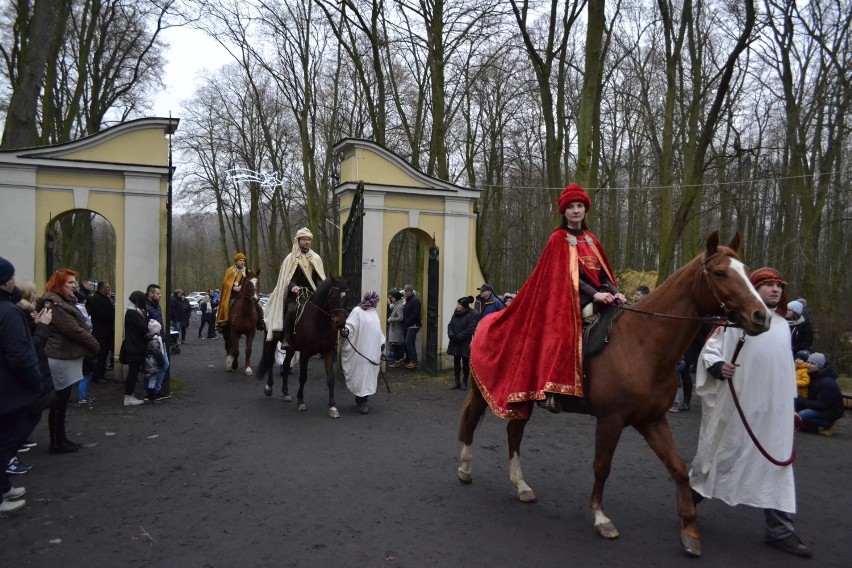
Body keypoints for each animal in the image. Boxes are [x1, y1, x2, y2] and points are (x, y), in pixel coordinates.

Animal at [460, 231, 772, 556]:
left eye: (747, 272)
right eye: (720, 272)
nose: (761, 316)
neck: (643, 343)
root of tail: (485, 322)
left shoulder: (652, 419)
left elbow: (678, 468)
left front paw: (690, 530)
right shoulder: (611, 419)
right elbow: (602, 466)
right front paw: (601, 518)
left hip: (524, 398)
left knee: (514, 433)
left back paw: (520, 486)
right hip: (488, 392)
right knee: (472, 420)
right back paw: (465, 469)